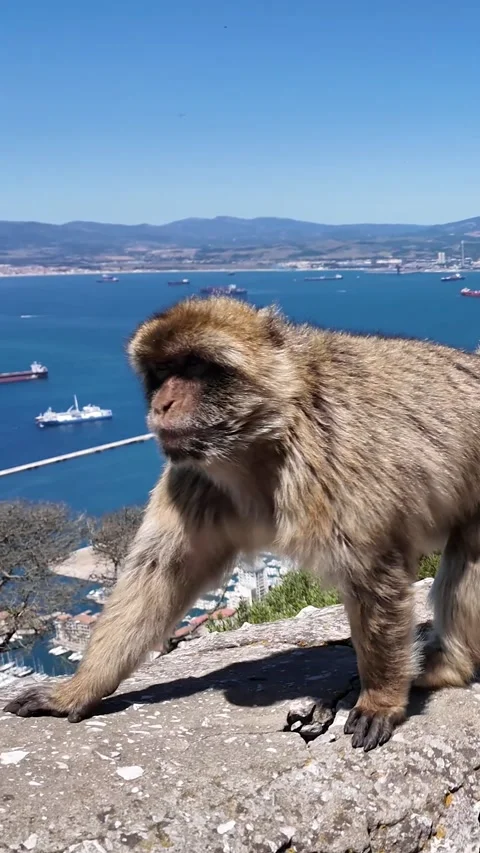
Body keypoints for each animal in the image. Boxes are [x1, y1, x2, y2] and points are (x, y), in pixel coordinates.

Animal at [6, 295, 480, 752]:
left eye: (195, 367)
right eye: (160, 373)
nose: (162, 404)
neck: (263, 442)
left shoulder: (337, 455)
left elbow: (373, 574)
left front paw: (381, 698)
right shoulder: (192, 480)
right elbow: (158, 575)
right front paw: (77, 690)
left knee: (467, 559)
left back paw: (447, 667)